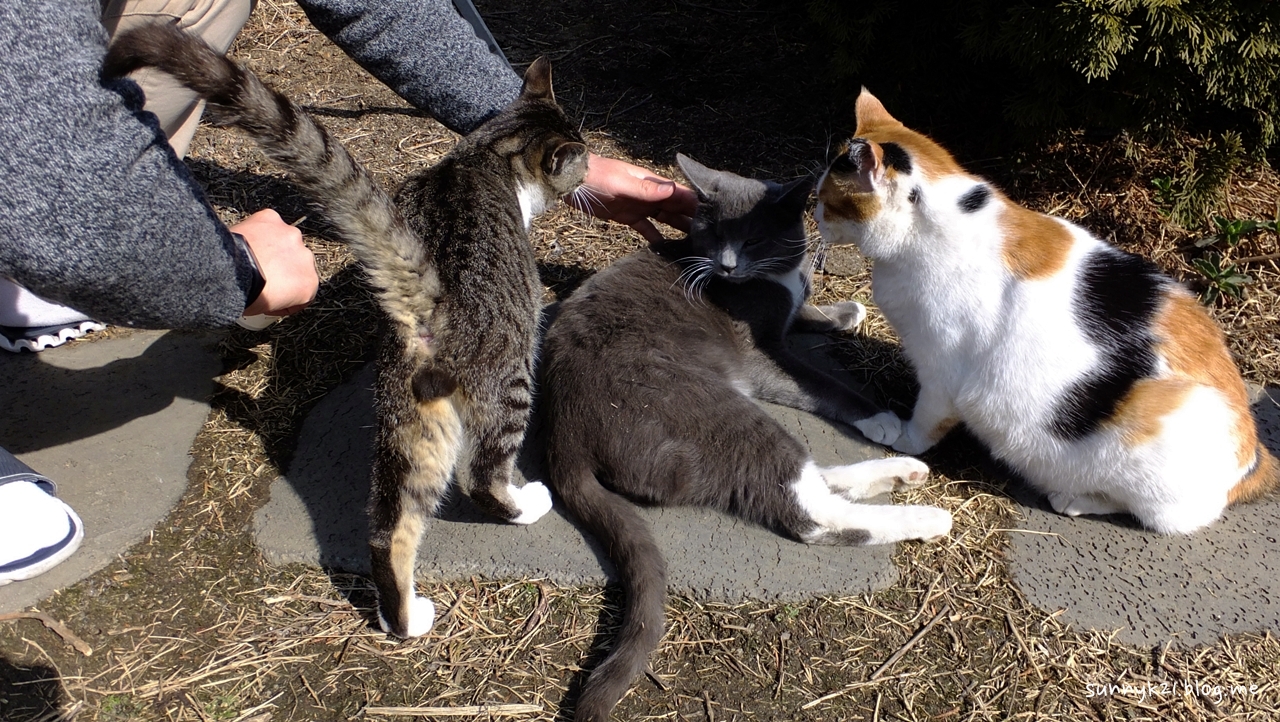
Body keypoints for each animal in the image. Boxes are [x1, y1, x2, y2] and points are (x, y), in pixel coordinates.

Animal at [107, 22, 586, 637]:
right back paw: (524, 506)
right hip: (506, 380)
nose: (592, 173)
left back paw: (403, 617)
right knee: (482, 475)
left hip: (411, 416)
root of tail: (429, 300)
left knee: (390, 525)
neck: (484, 155)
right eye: (581, 157)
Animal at [540, 153, 952, 722]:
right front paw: (882, 416)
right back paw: (926, 516)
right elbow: (821, 384)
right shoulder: (761, 355)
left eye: (754, 238)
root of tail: (564, 437)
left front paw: (842, 311)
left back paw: (899, 474)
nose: (728, 268)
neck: (773, 275)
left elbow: (806, 310)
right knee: (806, 508)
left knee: (801, 476)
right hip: (707, 410)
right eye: (713, 234)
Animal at [814, 87, 1274, 532]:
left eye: (826, 199)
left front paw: (902, 442)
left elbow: (927, 422)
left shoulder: (942, 372)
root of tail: (1254, 454)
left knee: (1161, 516)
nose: (814, 215)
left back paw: (1073, 499)